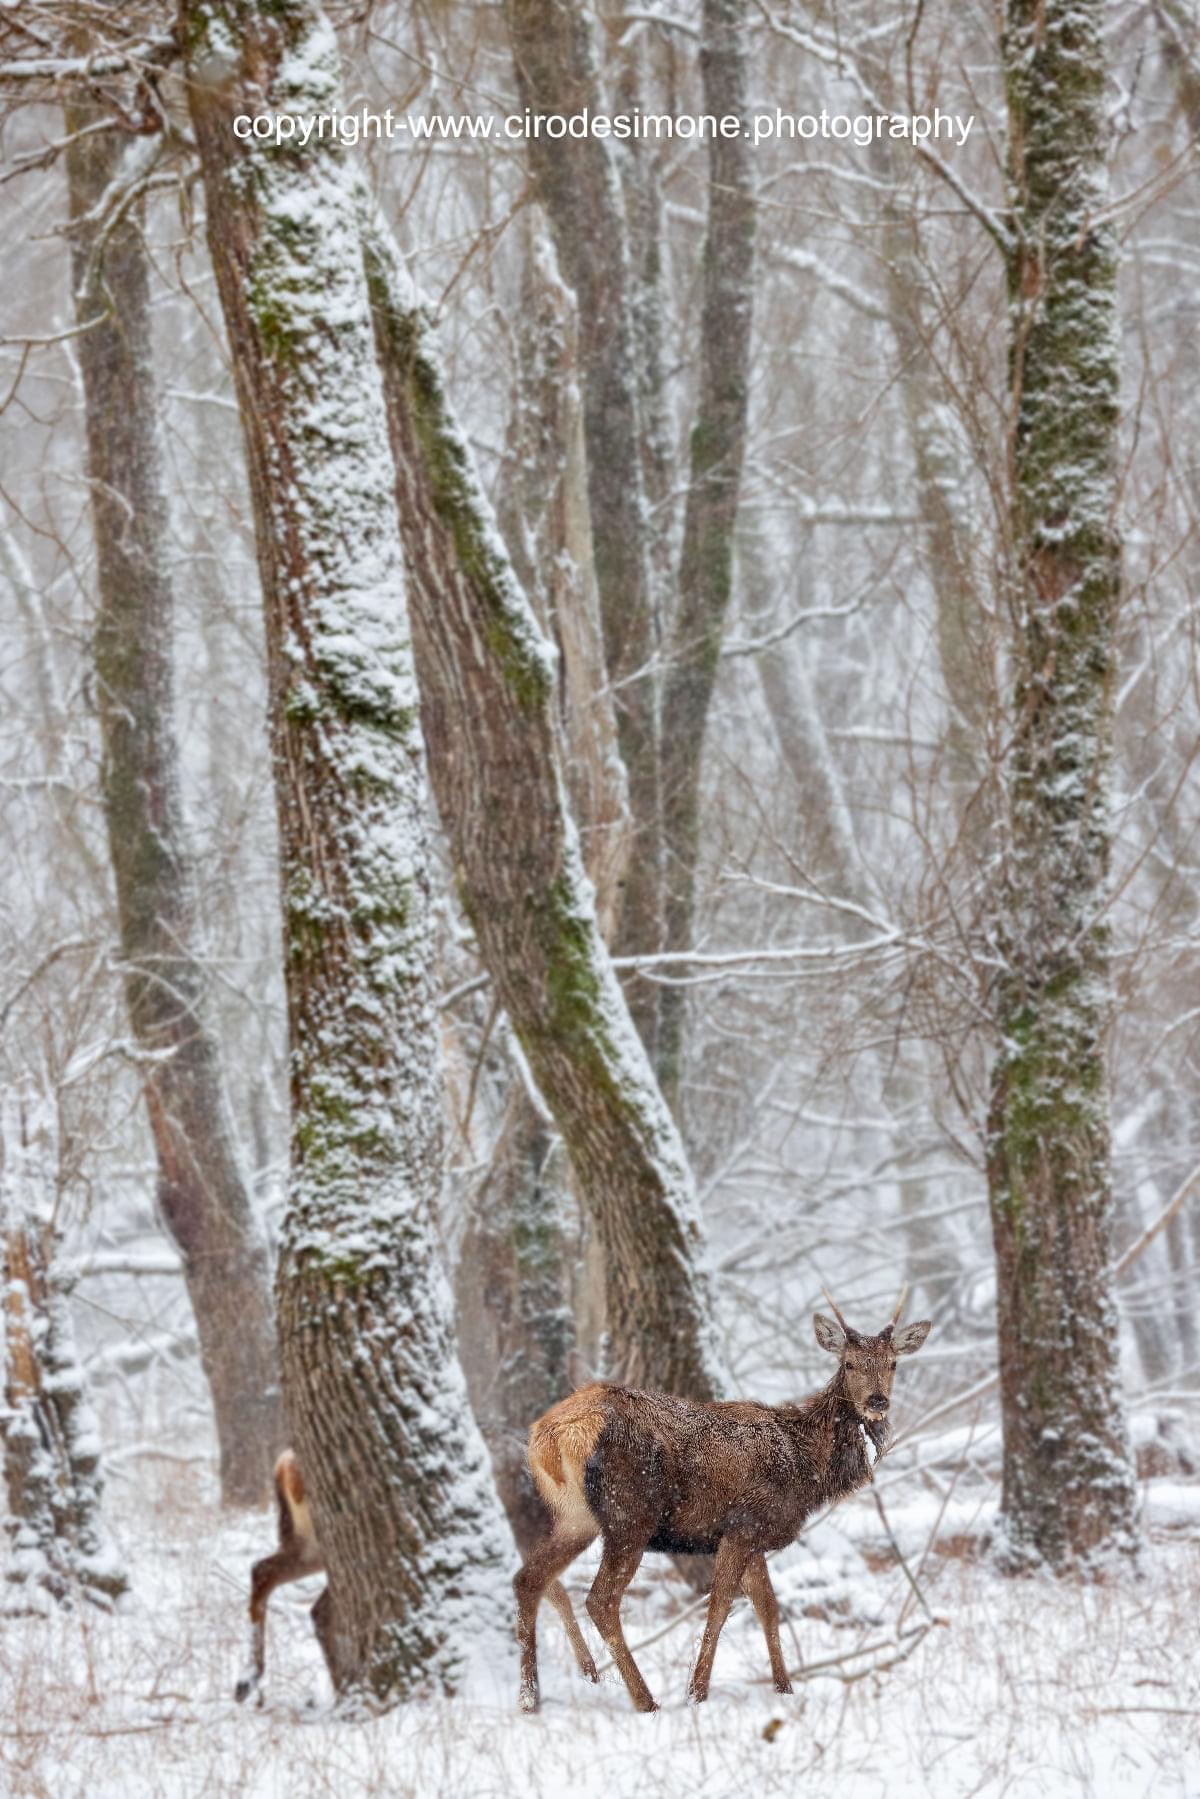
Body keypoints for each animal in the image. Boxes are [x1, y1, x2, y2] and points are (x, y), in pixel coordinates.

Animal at [513, 1290, 931, 1713]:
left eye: (893, 1363)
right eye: (849, 1363)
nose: (878, 1401)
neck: (805, 1465)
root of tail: (550, 1436)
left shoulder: (753, 1536)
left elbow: (768, 1608)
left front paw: (784, 1689)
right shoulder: (743, 1525)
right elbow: (720, 1607)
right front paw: (697, 1692)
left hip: (575, 1517)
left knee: (529, 1579)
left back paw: (535, 1694)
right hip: (629, 1515)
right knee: (600, 1599)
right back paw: (644, 1700)